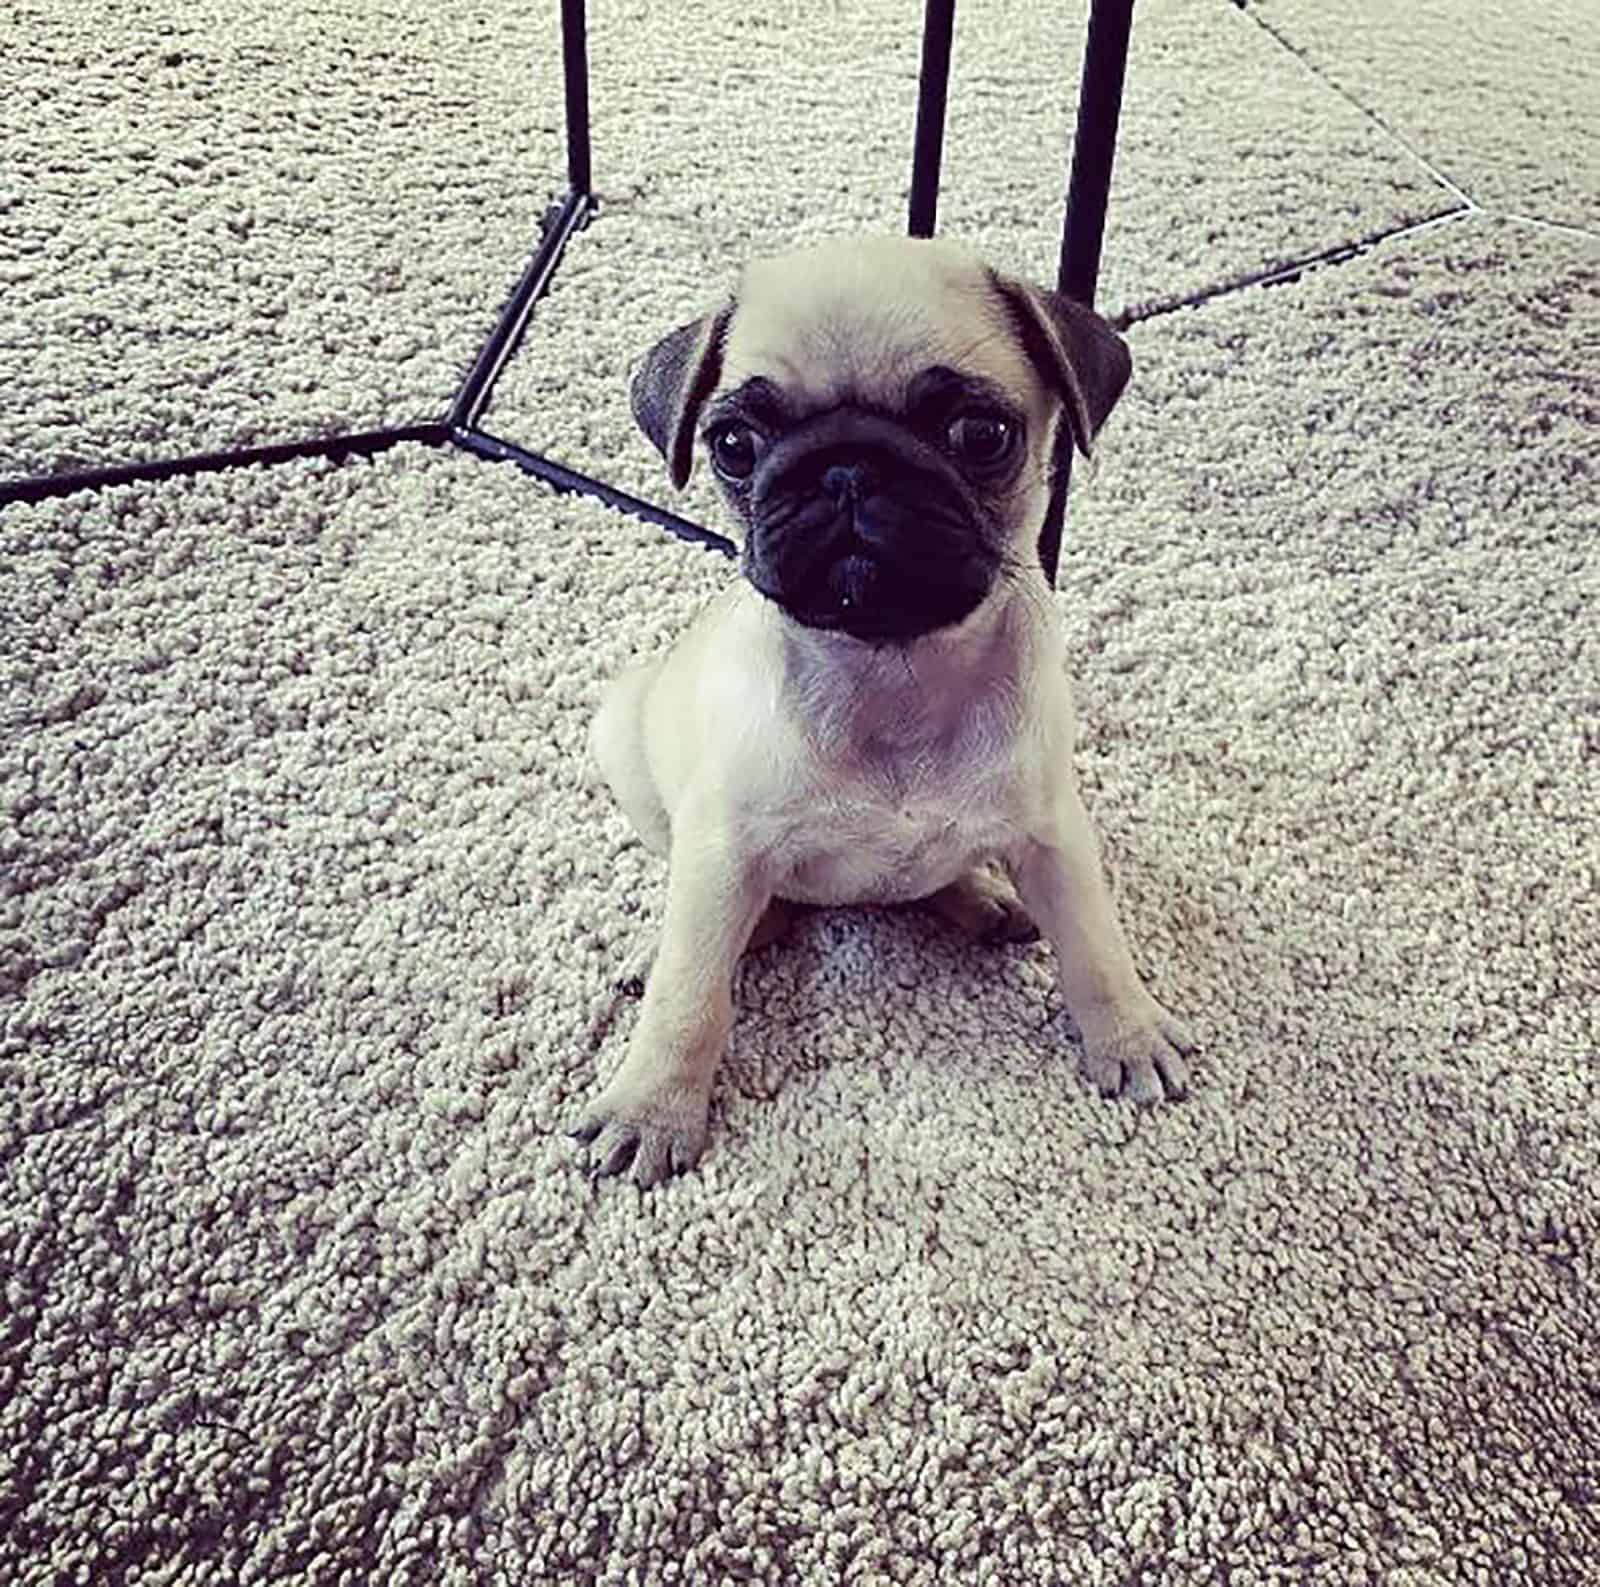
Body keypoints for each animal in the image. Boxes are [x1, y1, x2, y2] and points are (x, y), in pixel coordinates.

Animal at [572, 228, 1190, 1183]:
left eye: (981, 434)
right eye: (735, 444)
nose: (847, 469)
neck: (894, 672)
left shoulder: (1055, 835)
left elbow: (1095, 945)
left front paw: (1127, 1034)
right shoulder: (722, 849)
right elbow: (688, 996)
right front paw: (653, 1105)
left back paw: (983, 899)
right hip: (625, 741)